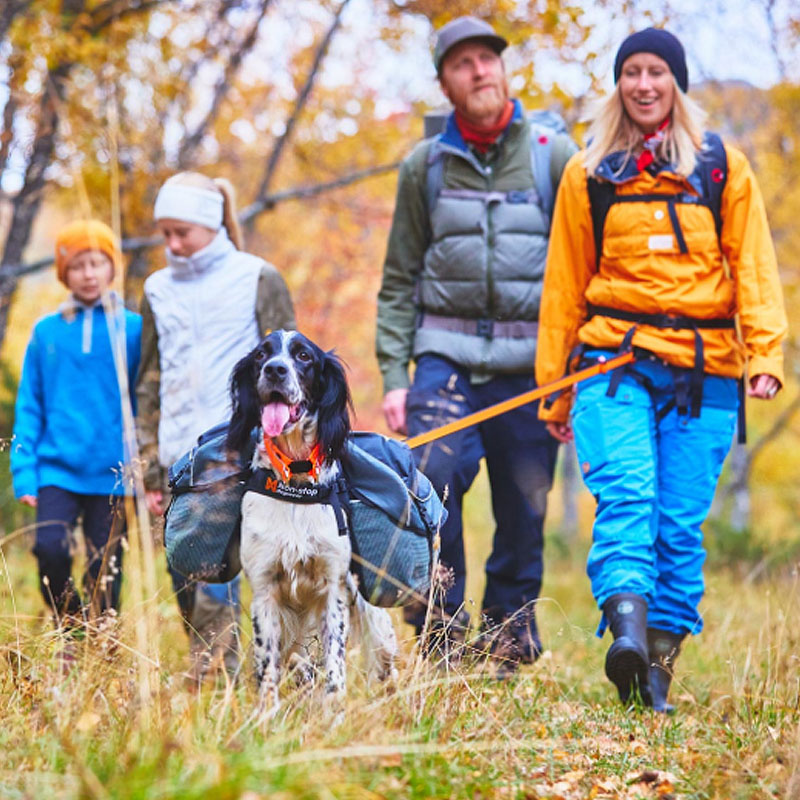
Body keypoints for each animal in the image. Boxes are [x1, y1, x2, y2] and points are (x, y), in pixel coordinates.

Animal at [228, 328, 396, 716]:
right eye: (261, 355)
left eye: (304, 356)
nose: (275, 370)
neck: (296, 479)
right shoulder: (265, 590)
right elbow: (268, 665)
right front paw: (266, 717)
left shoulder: (333, 589)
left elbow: (335, 664)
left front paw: (334, 715)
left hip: (374, 622)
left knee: (383, 663)